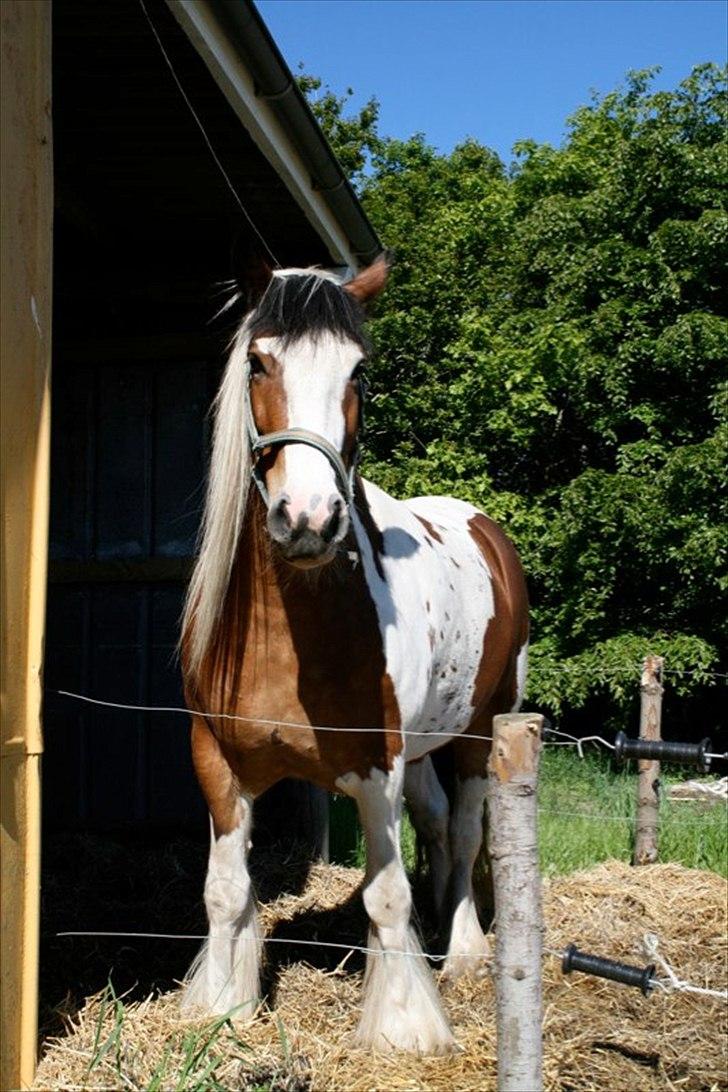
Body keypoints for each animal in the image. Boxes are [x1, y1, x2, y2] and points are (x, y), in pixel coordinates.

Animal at [178, 251, 526, 1052]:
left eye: (359, 371)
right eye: (259, 362)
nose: (307, 519)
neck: (287, 638)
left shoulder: (376, 768)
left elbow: (385, 896)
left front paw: (404, 1027)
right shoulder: (217, 760)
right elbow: (226, 891)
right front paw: (222, 1007)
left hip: (480, 731)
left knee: (466, 831)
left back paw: (464, 950)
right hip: (426, 747)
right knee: (440, 824)